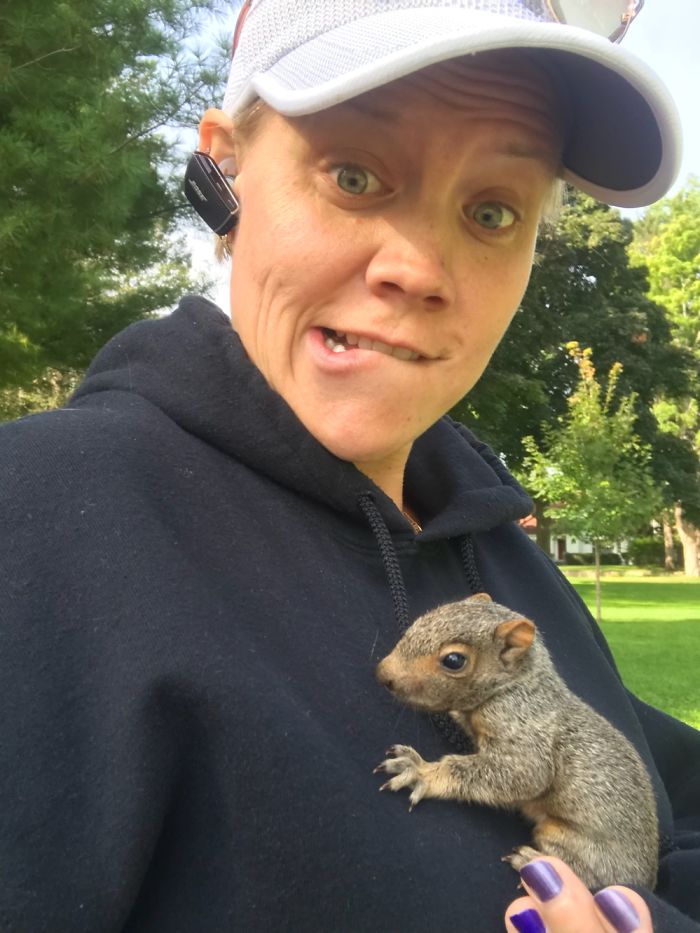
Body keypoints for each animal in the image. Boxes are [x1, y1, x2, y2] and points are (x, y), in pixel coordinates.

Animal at [374, 593, 658, 889]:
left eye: (453, 660)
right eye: (420, 620)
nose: (383, 673)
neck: (516, 686)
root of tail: (646, 879)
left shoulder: (523, 729)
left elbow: (523, 774)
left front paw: (422, 772)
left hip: (570, 841)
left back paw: (534, 862)